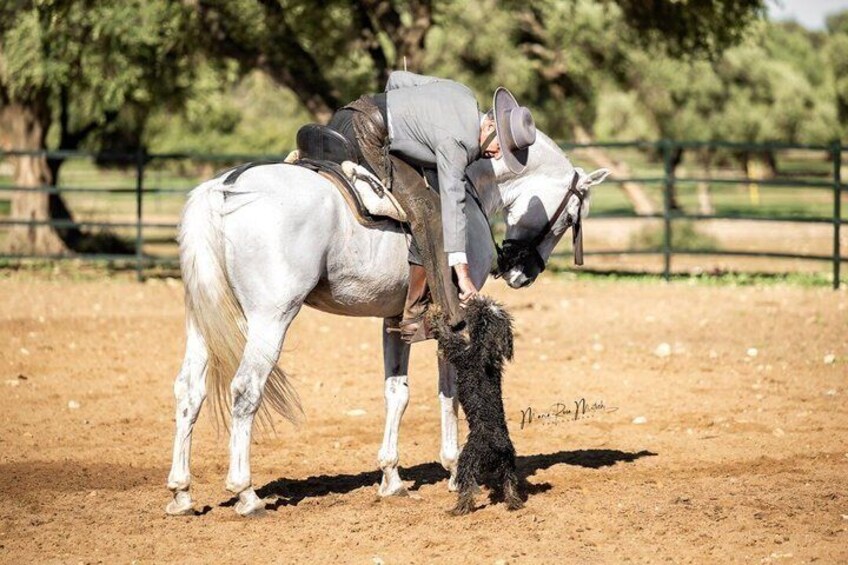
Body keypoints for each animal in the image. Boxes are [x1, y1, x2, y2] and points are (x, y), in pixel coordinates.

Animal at [165, 131, 609, 516]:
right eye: (573, 216)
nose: (521, 273)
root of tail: (224, 188)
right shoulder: (454, 321)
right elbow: (448, 393)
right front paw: (453, 469)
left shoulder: (395, 319)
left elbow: (397, 393)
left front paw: (391, 477)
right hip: (271, 318)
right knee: (245, 391)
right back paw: (246, 494)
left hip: (201, 323)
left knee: (189, 391)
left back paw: (181, 493)